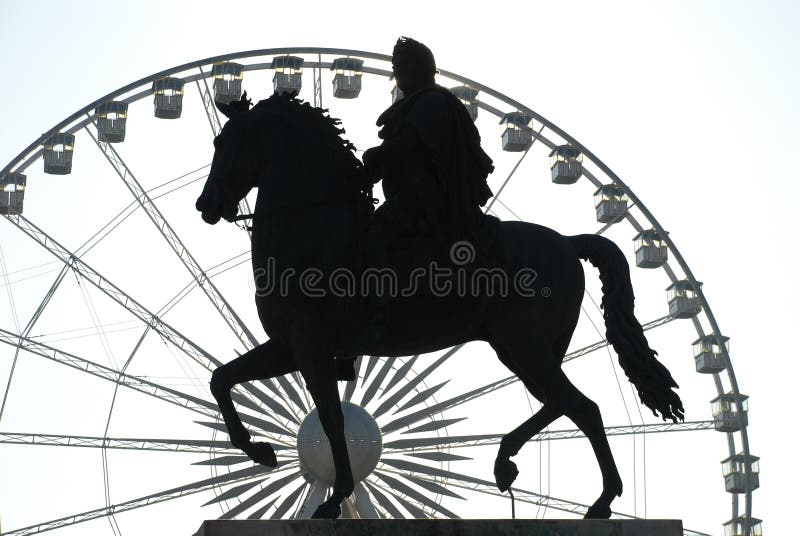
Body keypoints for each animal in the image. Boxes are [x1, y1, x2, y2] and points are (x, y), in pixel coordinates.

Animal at [194, 93, 680, 520]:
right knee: (563, 404)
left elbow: (332, 420)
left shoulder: (310, 347)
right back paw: (508, 461)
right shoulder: (289, 347)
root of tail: (567, 241)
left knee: (583, 407)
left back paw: (601, 500)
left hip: (524, 346)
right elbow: (222, 379)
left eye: (224, 143)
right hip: (528, 349)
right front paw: (258, 449)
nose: (205, 204)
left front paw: (335, 497)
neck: (313, 227)